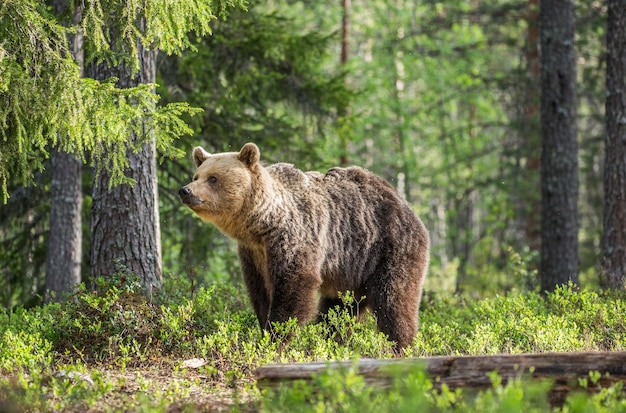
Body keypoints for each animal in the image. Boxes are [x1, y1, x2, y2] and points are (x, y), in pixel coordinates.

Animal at [178, 143, 426, 352]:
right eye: (196, 176)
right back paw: (330, 342)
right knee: (337, 310)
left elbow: (293, 286)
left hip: (388, 249)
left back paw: (401, 346)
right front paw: (264, 328)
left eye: (213, 178)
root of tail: (405, 204)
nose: (185, 190)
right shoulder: (253, 253)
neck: (261, 224)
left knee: (393, 301)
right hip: (348, 271)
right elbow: (259, 291)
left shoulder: (295, 236)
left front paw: (274, 339)